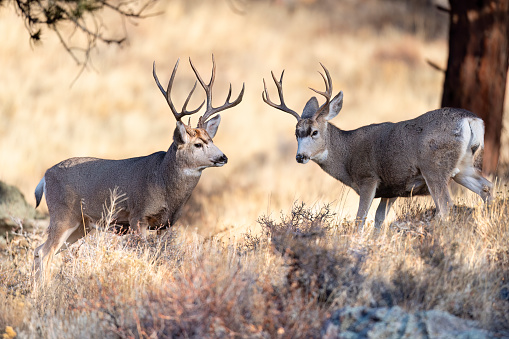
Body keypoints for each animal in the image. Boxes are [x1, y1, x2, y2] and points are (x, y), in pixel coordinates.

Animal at [33, 55, 244, 282]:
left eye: (211, 139)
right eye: (197, 144)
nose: (223, 157)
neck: (163, 182)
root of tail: (45, 176)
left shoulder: (166, 224)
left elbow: (161, 256)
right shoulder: (137, 216)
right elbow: (144, 255)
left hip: (81, 225)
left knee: (38, 250)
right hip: (62, 214)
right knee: (45, 252)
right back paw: (44, 290)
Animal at [262, 63, 492, 230]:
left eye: (314, 132)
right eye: (296, 133)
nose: (300, 157)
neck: (347, 155)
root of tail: (471, 120)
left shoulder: (368, 178)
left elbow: (360, 220)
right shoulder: (393, 189)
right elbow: (379, 222)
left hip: (434, 167)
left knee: (445, 207)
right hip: (465, 167)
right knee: (487, 187)